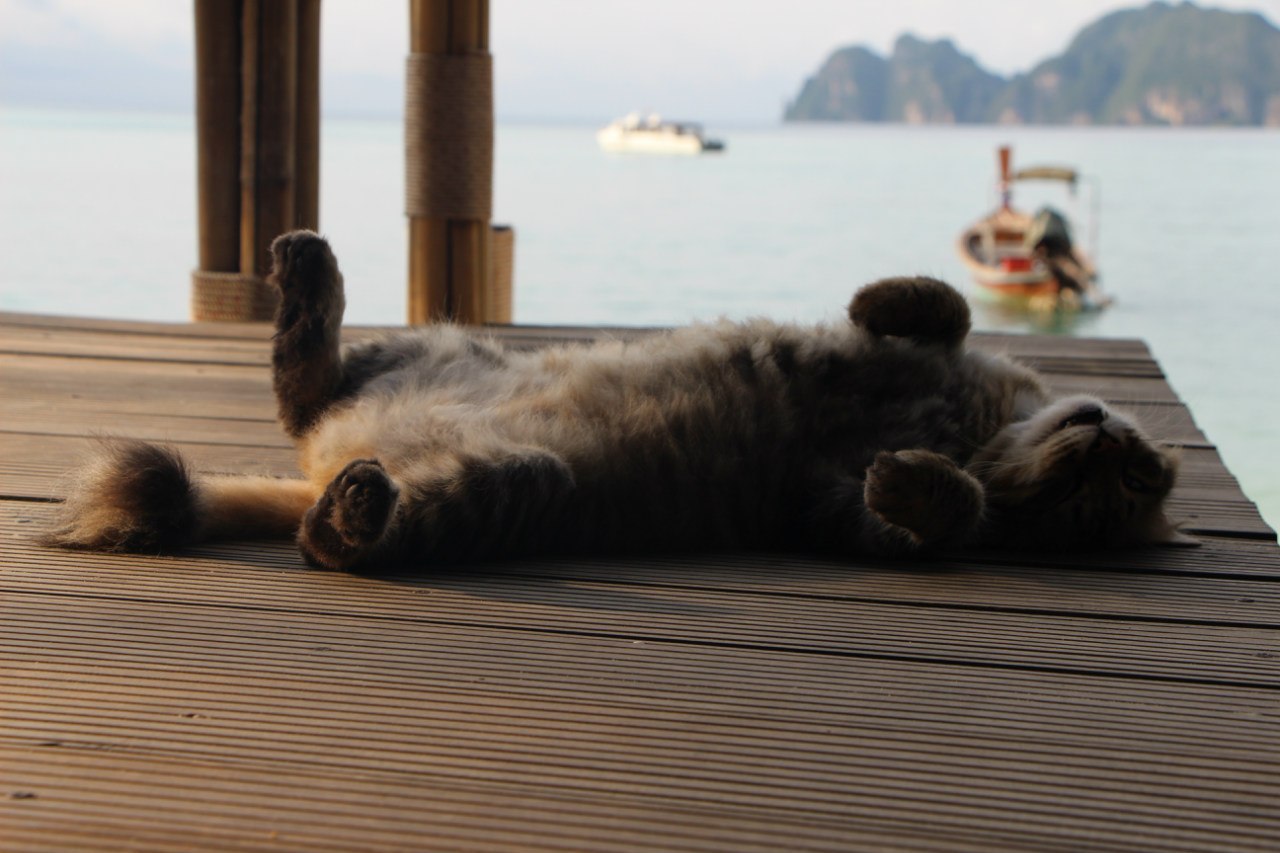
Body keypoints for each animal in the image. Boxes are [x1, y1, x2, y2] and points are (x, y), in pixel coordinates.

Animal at [45, 229, 1192, 568]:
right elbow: (939, 306)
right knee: (309, 381)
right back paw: (304, 272)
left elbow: (939, 514)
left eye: (1112, 492)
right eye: (1137, 471)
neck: (983, 427)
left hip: (522, 482)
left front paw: (922, 481)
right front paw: (889, 295)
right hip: (439, 341)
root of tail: (333, 465)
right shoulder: (955, 356)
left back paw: (354, 514)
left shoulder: (830, 507)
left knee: (326, 528)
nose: (1104, 436)